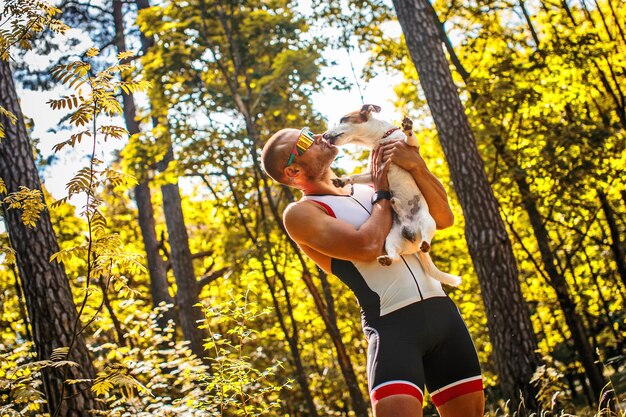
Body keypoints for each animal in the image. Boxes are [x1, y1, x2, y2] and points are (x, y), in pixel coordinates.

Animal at [322, 104, 458, 286]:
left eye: (344, 119)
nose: (324, 135)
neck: (380, 139)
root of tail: (412, 237)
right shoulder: (371, 174)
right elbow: (356, 177)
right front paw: (342, 180)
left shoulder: (410, 148)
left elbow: (409, 139)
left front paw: (407, 127)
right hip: (391, 240)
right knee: (396, 257)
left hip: (427, 222)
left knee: (426, 240)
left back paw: (424, 243)